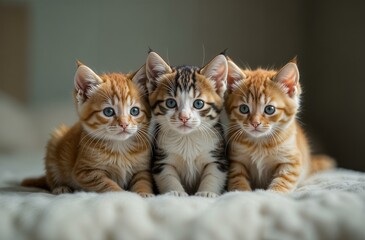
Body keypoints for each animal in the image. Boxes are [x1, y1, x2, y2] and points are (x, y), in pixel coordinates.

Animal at [21, 62, 154, 197]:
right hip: (55, 141)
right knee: (51, 179)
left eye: (134, 111)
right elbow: (106, 184)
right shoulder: (85, 172)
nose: (124, 124)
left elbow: (143, 180)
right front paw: (122, 194)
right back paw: (61, 188)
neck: (120, 147)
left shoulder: (142, 168)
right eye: (108, 111)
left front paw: (144, 193)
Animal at [145, 51, 228, 198]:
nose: (184, 117)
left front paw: (206, 192)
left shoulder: (218, 158)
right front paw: (176, 192)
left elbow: (213, 175)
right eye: (170, 103)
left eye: (199, 103)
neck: (187, 138)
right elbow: (168, 177)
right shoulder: (161, 160)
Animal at [226, 57, 334, 193]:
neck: (259, 144)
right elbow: (237, 178)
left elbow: (284, 180)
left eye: (269, 109)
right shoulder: (235, 160)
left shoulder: (292, 161)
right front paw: (242, 192)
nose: (255, 123)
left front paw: (272, 193)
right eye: (244, 108)